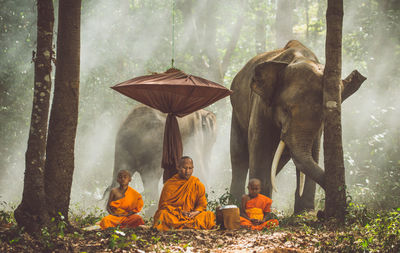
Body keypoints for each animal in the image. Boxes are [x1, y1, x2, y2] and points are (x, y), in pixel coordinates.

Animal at [230, 40, 368, 213]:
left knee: (276, 164)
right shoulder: (260, 104)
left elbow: (313, 152)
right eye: (286, 109)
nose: (321, 212)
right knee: (239, 157)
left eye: (323, 116)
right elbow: (260, 146)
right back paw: (235, 203)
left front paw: (305, 212)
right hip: (236, 111)